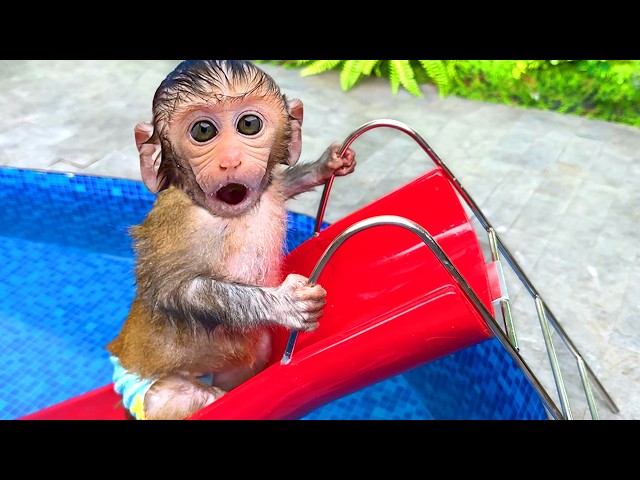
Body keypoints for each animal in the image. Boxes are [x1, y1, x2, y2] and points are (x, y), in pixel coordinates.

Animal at [105, 60, 357, 420]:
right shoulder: (179, 222)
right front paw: (285, 304)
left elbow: (283, 182)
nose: (230, 160)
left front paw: (328, 164)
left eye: (249, 125)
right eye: (203, 131)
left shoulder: (269, 186)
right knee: (175, 398)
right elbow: (173, 291)